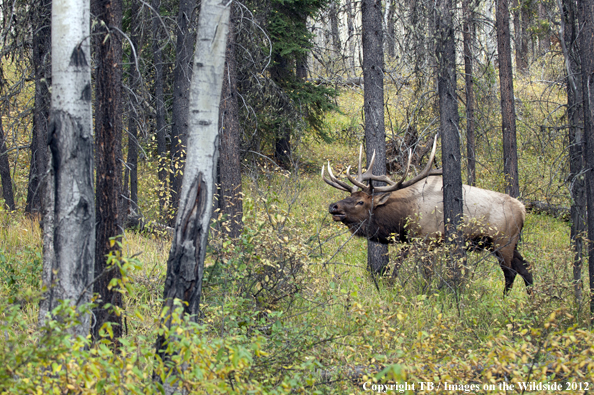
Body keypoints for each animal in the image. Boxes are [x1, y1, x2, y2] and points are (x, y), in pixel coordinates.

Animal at [324, 136, 532, 294]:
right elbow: (400, 266)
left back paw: (505, 301)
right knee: (527, 268)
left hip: (502, 241)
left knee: (510, 273)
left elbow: (423, 272)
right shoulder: (412, 240)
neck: (403, 216)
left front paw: (423, 292)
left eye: (360, 202)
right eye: (351, 196)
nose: (333, 206)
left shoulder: (427, 239)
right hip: (508, 243)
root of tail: (523, 210)